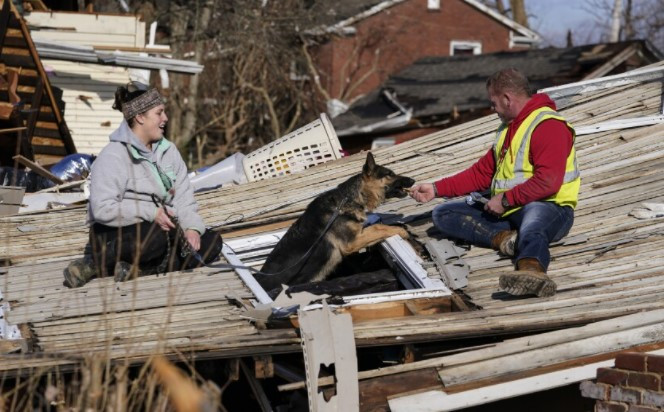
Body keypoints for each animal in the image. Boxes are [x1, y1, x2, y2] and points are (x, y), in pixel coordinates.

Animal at [254, 153, 416, 294]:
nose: (413, 181)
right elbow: (378, 227)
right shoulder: (352, 242)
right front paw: (401, 231)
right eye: (390, 174)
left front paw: (399, 226)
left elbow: (377, 226)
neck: (347, 198)